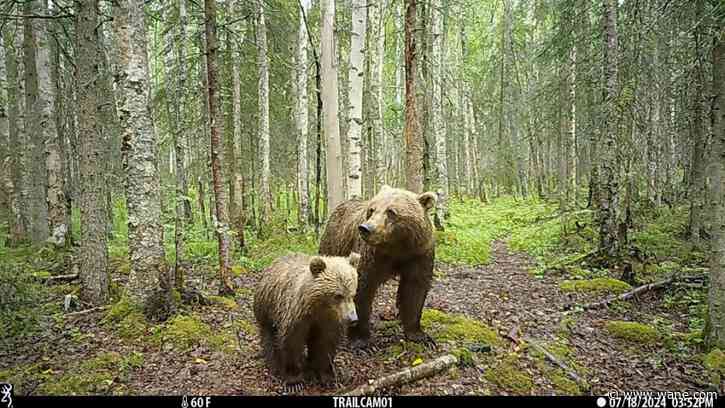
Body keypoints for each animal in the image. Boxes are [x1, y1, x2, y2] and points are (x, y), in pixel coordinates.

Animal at [253, 252, 360, 388]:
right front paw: (294, 380)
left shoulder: (328, 321)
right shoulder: (295, 316)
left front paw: (327, 376)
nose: (353, 319)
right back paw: (274, 365)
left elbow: (325, 343)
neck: (317, 307)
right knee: (270, 336)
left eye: (353, 294)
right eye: (338, 295)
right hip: (268, 308)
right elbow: (291, 342)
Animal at [318, 185, 437, 348]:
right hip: (334, 243)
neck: (397, 247)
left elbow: (415, 288)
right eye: (371, 210)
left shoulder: (418, 253)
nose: (365, 228)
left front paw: (418, 335)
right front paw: (360, 338)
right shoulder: (371, 255)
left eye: (391, 211)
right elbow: (362, 287)